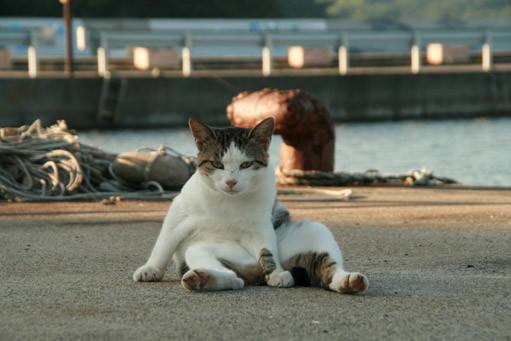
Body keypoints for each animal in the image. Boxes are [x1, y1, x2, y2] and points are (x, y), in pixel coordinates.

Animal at [134, 117, 370, 292]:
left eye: (246, 164)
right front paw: (151, 268)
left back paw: (348, 281)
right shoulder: (179, 213)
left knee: (326, 268)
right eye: (217, 164)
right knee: (234, 277)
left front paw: (276, 272)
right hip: (199, 250)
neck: (227, 202)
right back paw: (202, 279)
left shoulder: (260, 226)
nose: (231, 181)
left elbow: (267, 250)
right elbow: (164, 243)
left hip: (312, 230)